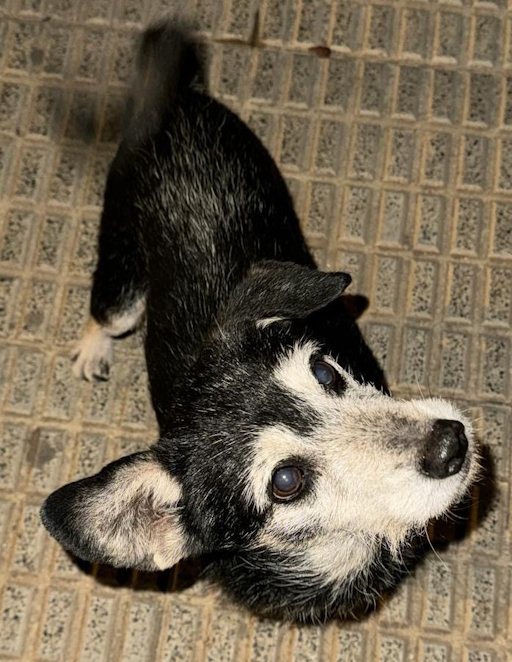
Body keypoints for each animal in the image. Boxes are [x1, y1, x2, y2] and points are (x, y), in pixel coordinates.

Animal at [40, 22, 479, 623]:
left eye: (325, 372)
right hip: (122, 262)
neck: (342, 550)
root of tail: (174, 101)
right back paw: (92, 349)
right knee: (107, 311)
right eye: (286, 482)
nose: (449, 443)